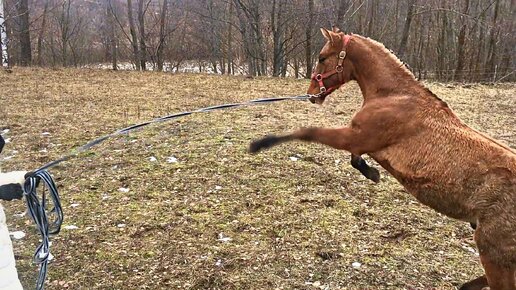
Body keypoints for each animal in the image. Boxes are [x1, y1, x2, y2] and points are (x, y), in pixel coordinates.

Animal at [249, 27, 512, 290]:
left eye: (322, 58)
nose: (312, 95)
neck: (394, 96)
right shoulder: (362, 143)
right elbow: (355, 159)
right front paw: (372, 173)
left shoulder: (355, 138)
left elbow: (308, 132)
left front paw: (260, 144)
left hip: (494, 256)